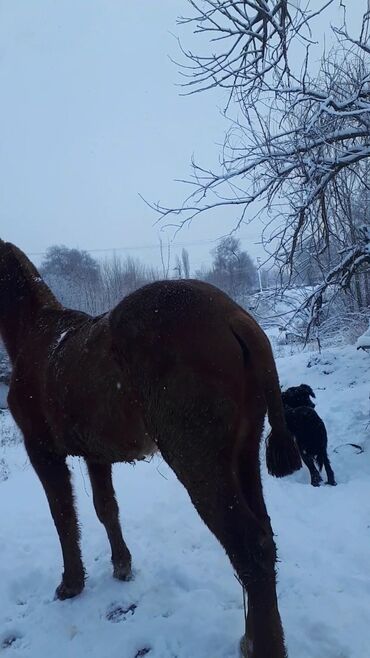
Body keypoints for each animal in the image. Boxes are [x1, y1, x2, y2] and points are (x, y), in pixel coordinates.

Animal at [0, 240, 300, 656]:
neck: (38, 335)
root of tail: (234, 317)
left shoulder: (42, 452)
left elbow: (63, 518)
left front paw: (72, 583)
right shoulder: (96, 455)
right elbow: (106, 509)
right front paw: (121, 564)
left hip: (199, 464)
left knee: (249, 548)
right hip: (243, 455)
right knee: (264, 538)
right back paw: (253, 638)